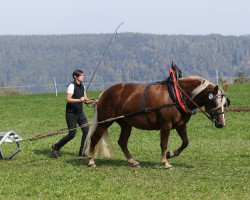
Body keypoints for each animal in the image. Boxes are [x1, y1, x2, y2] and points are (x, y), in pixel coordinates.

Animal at [84, 76, 230, 169]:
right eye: (214, 102)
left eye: (225, 104)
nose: (221, 124)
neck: (176, 96)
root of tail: (104, 93)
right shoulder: (166, 126)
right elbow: (163, 144)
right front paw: (165, 162)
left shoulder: (181, 125)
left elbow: (185, 142)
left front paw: (171, 154)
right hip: (105, 122)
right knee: (95, 138)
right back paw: (91, 161)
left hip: (125, 123)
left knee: (122, 142)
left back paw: (132, 162)